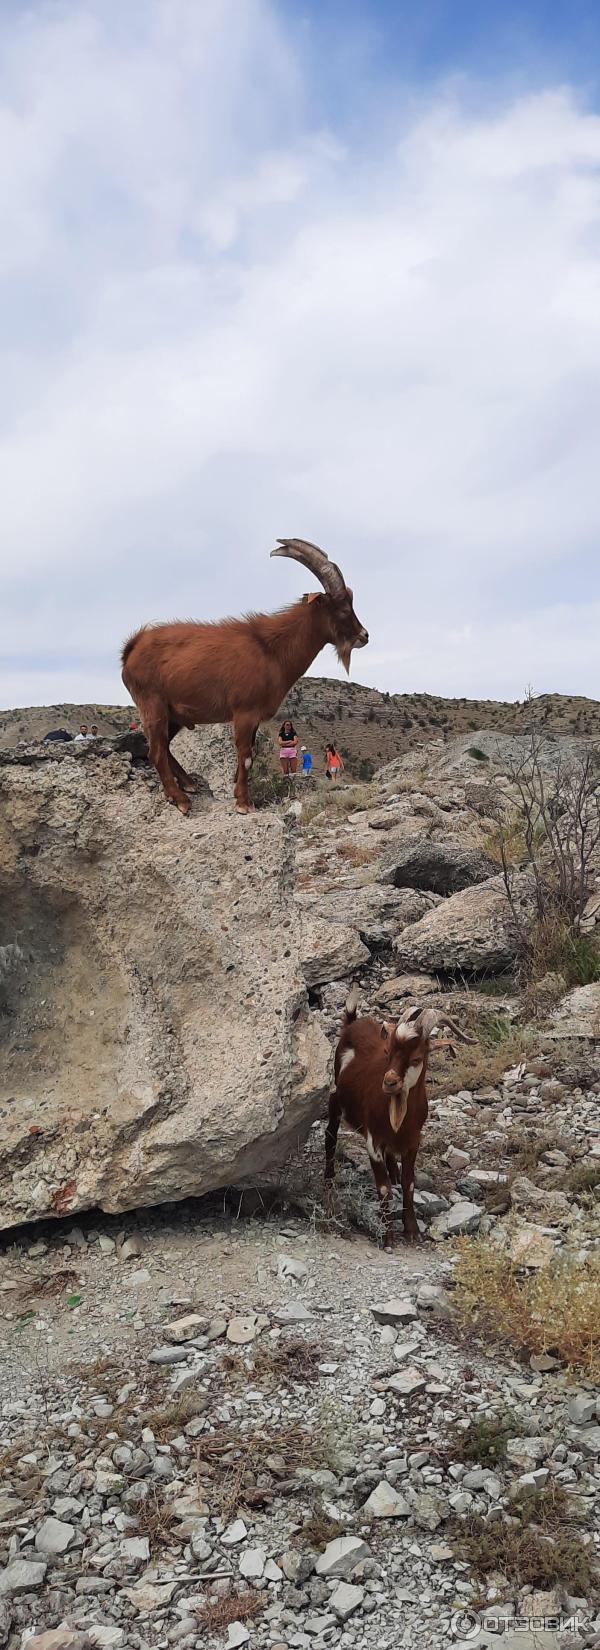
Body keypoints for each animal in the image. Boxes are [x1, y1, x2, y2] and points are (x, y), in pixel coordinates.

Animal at [120, 537, 367, 815]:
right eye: (343, 608)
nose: (364, 636)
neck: (271, 649)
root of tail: (132, 648)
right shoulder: (244, 712)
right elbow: (246, 757)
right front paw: (244, 803)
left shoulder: (255, 717)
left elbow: (250, 755)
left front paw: (241, 797)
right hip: (153, 706)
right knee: (156, 751)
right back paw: (180, 798)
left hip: (174, 714)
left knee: (164, 747)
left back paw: (189, 784)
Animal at [326, 983, 474, 1240]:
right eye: (387, 1052)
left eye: (416, 1058)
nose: (389, 1082)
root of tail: (351, 1023)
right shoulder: (373, 1140)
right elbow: (383, 1187)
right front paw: (387, 1236)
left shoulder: (413, 1141)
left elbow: (409, 1183)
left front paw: (412, 1230)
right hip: (336, 1099)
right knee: (330, 1137)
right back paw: (328, 1180)